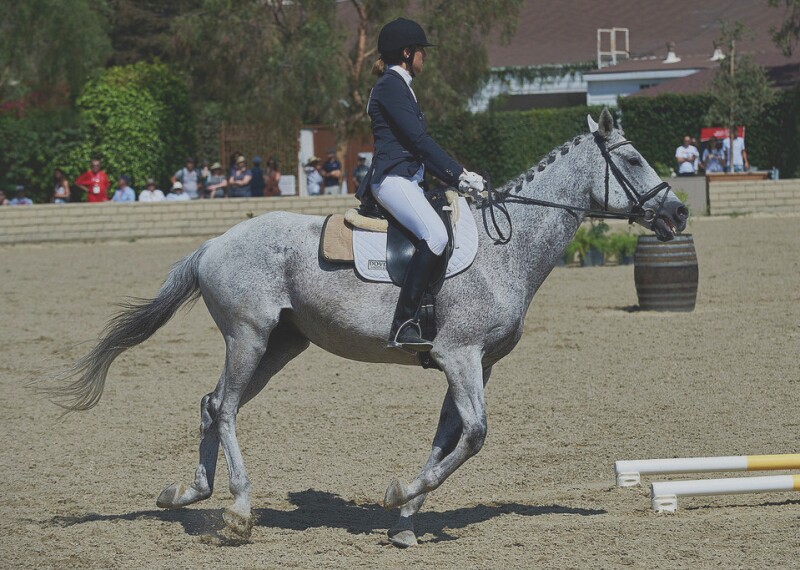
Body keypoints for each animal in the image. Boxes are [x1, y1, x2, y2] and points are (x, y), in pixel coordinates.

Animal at [46, 109, 687, 547]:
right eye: (633, 159)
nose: (678, 213)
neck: (506, 249)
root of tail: (214, 243)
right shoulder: (459, 356)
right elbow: (475, 435)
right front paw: (400, 495)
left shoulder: (471, 364)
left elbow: (448, 437)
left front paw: (404, 520)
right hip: (248, 336)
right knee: (224, 408)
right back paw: (238, 511)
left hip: (281, 345)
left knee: (210, 403)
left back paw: (187, 493)